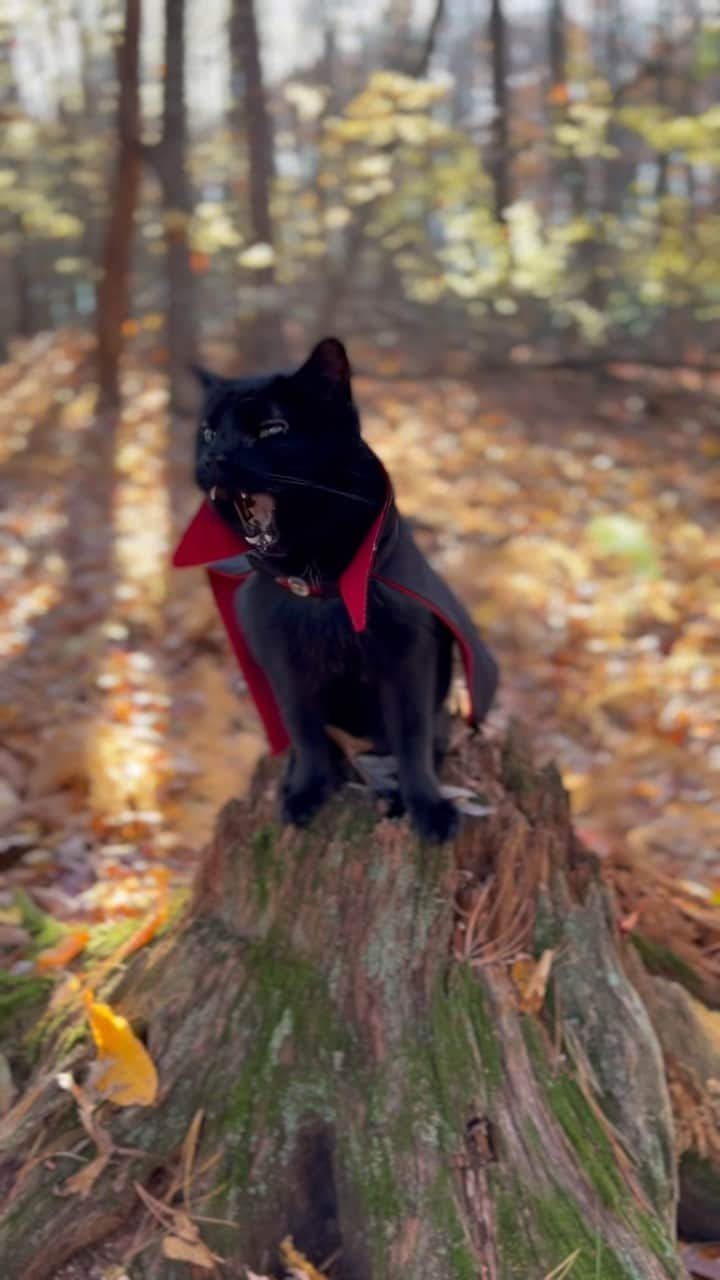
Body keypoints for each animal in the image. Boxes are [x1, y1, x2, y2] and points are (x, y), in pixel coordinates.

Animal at [175, 335, 499, 844]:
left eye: (271, 429)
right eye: (208, 432)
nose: (212, 458)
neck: (318, 586)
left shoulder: (408, 660)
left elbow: (412, 738)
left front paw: (428, 809)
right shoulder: (285, 665)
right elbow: (306, 731)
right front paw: (306, 793)